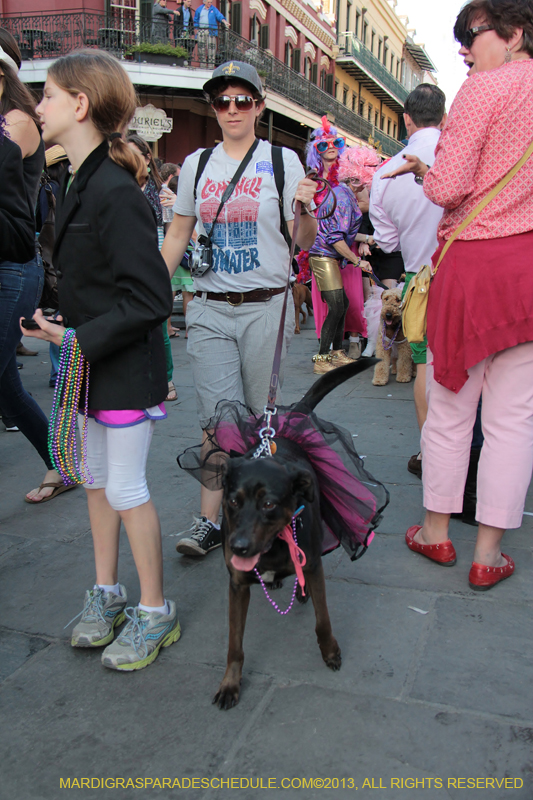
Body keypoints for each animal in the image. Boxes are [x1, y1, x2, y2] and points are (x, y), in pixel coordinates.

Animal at [212, 360, 374, 708]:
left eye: (269, 504)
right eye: (232, 501)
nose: (238, 546)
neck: (274, 545)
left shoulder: (313, 565)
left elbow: (322, 619)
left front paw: (330, 651)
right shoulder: (237, 586)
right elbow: (234, 644)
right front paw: (230, 683)